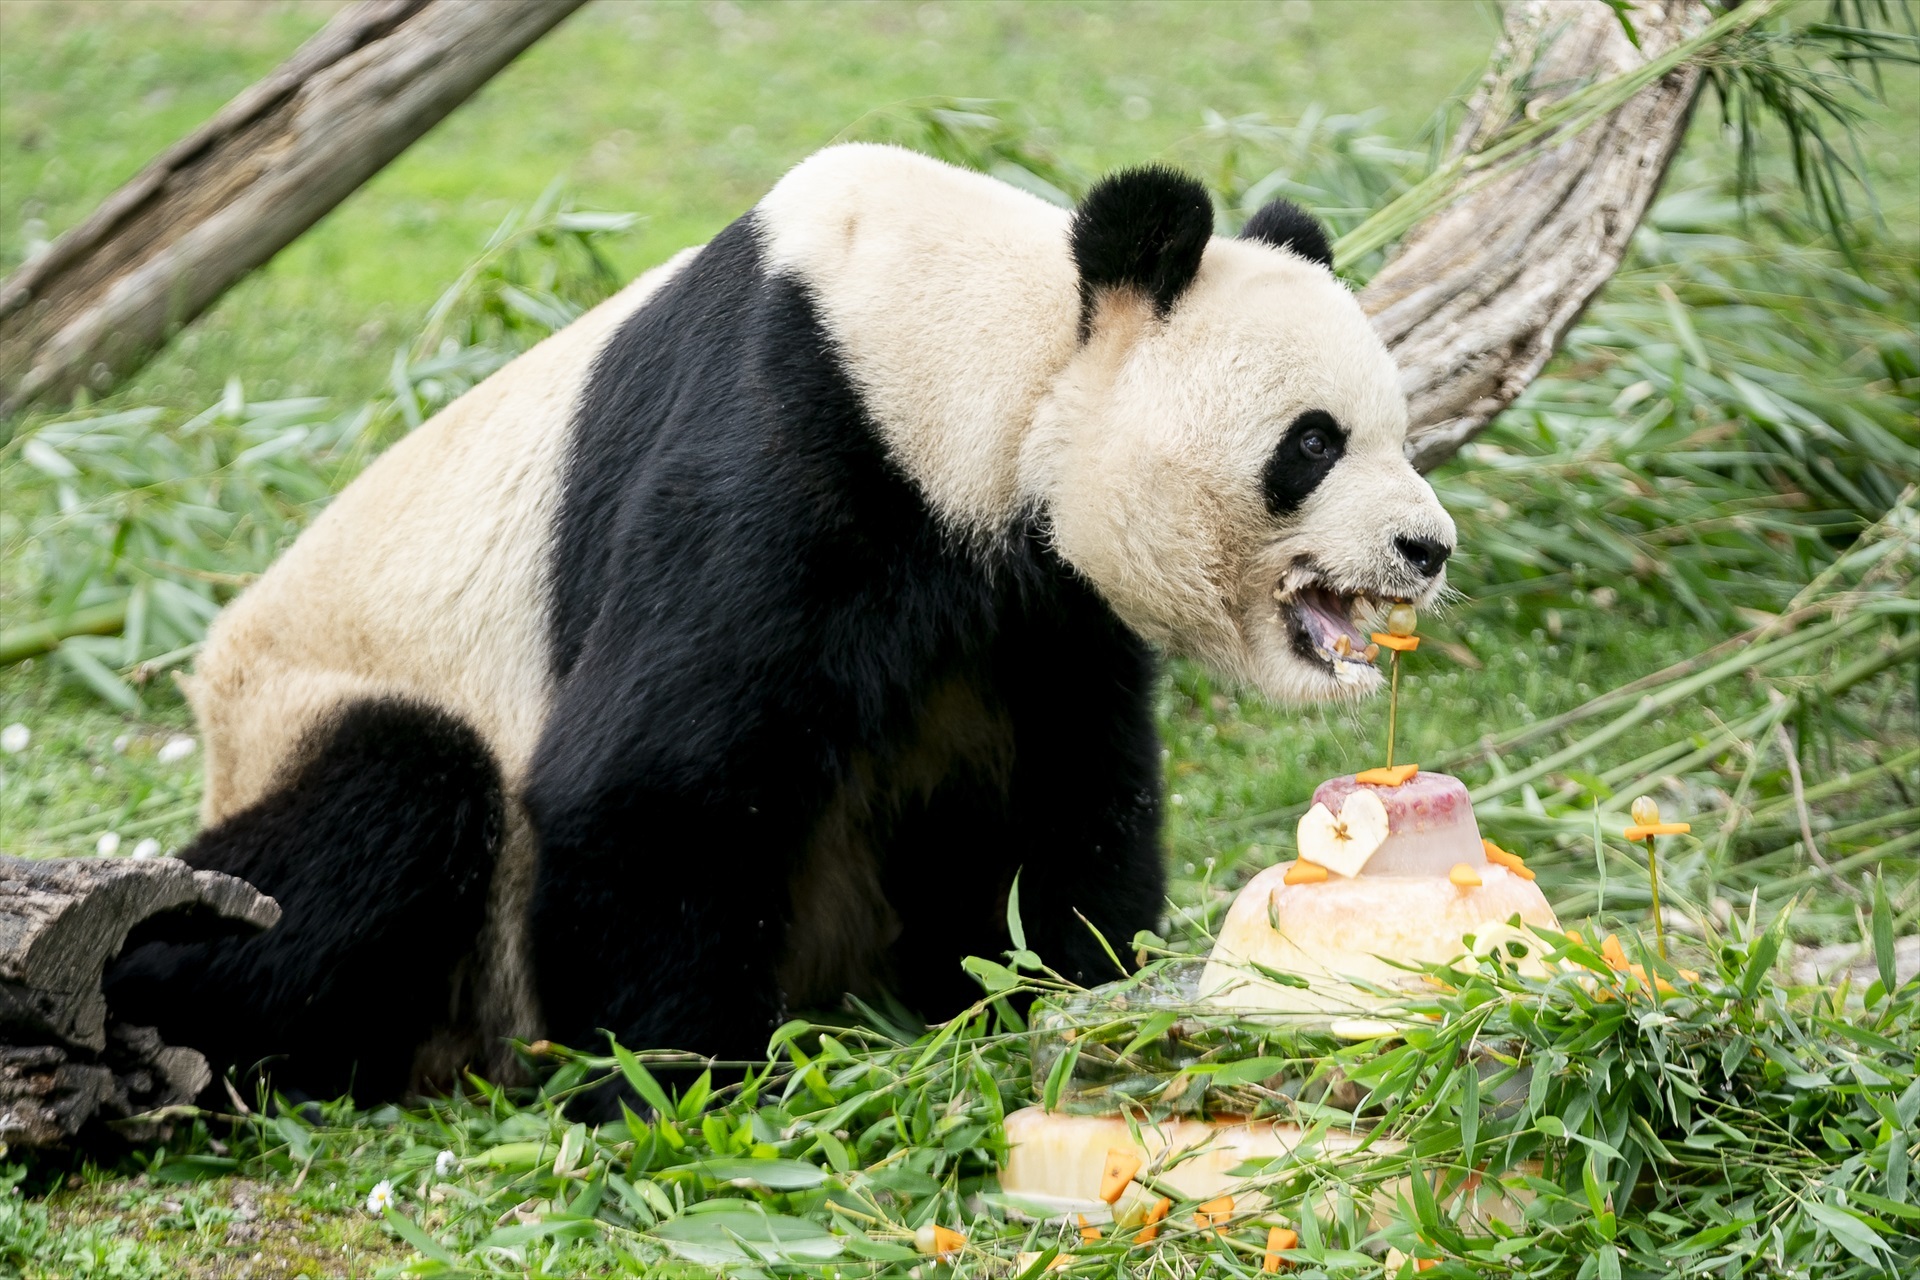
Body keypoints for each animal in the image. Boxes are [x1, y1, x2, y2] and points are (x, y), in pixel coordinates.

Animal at [105, 144, 1443, 1113]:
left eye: (1396, 429)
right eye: (1313, 442)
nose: (1428, 548)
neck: (983, 345)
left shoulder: (1036, 605)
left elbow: (1067, 791)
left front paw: (1079, 996)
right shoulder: (791, 447)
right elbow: (651, 778)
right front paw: (686, 1086)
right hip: (311, 709)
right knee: (368, 822)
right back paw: (136, 1032)